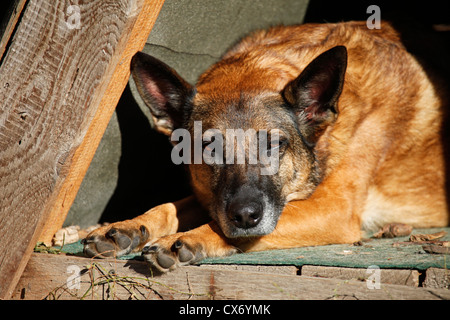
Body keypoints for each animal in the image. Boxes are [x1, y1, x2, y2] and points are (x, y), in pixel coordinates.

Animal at [82, 21, 448, 272]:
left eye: (274, 144)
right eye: (209, 148)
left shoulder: (334, 209)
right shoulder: (208, 195)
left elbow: (221, 225)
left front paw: (187, 238)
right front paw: (127, 226)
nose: (245, 215)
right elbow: (168, 206)